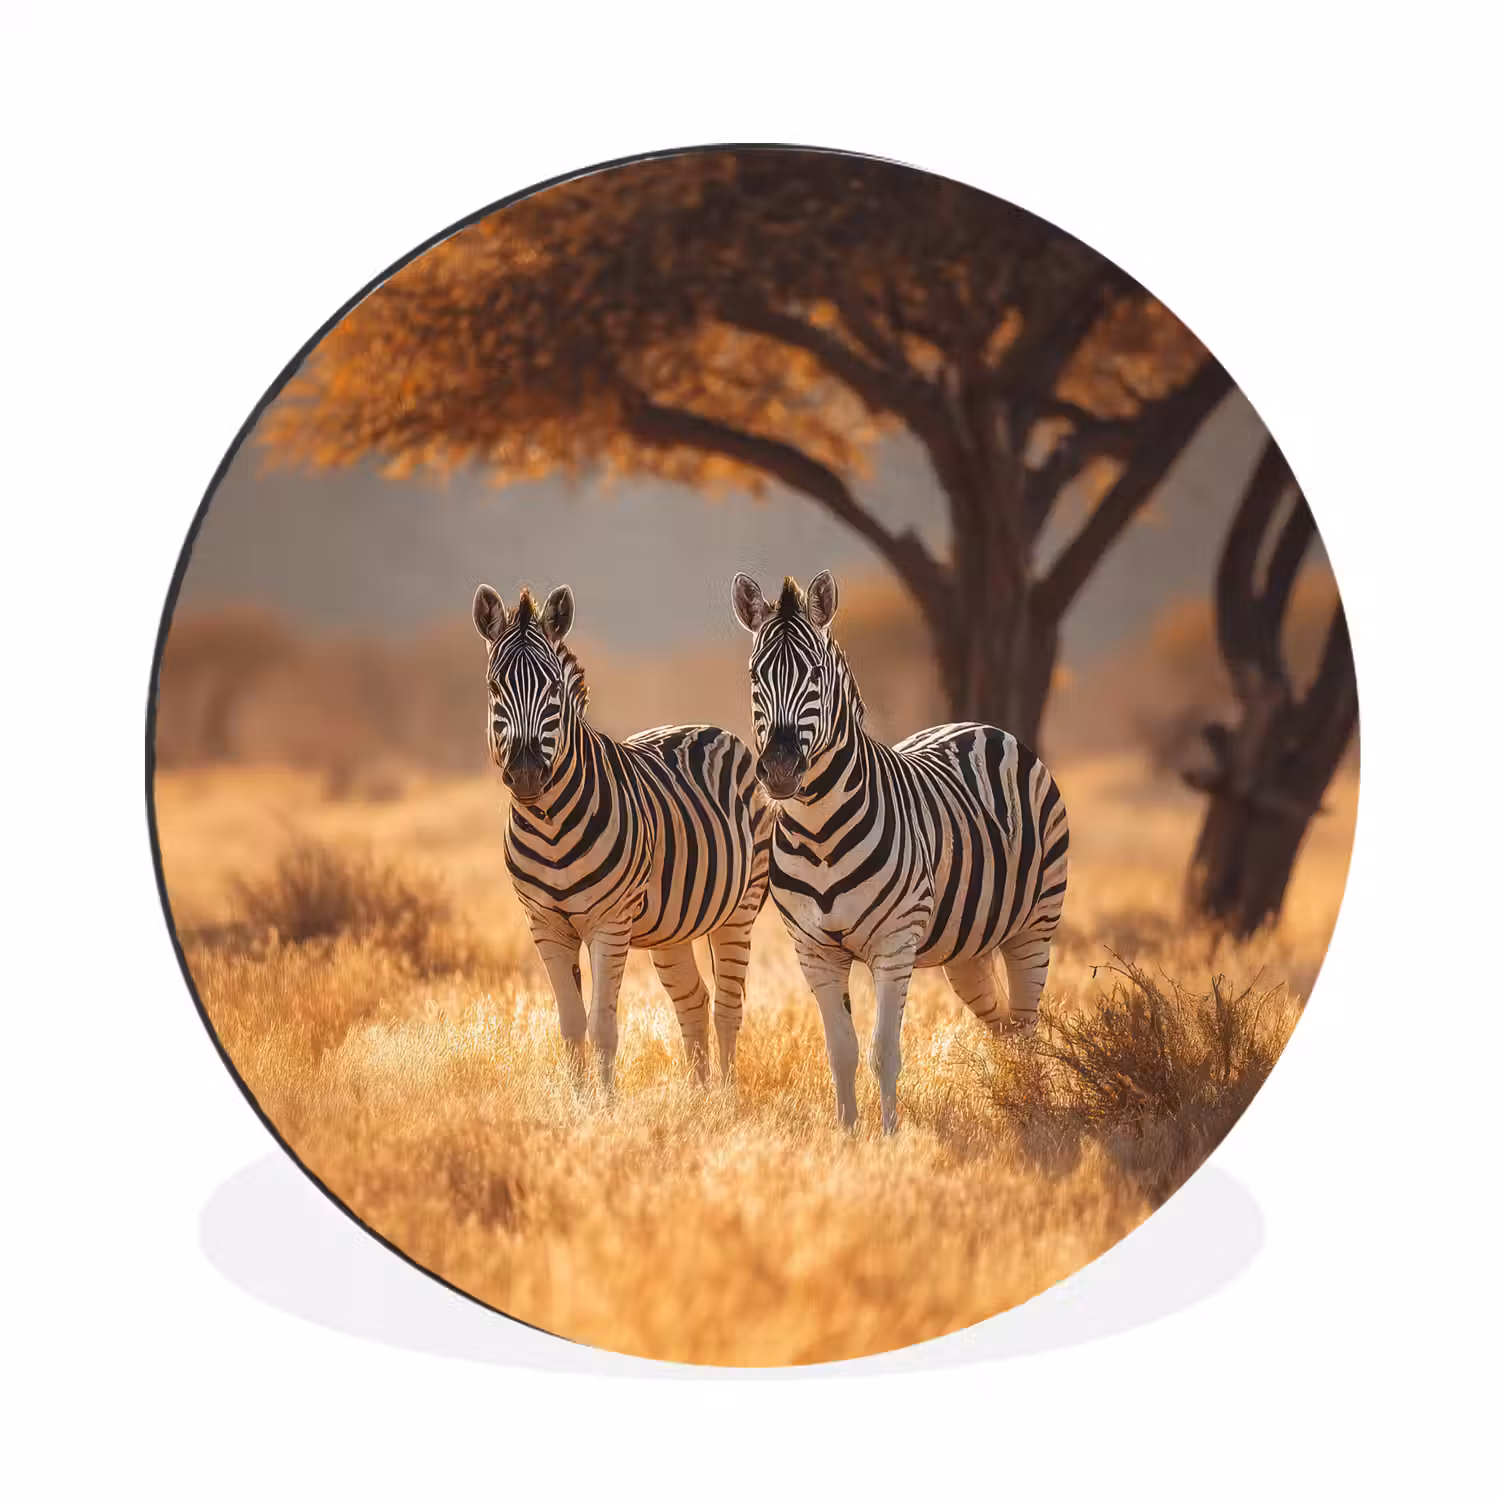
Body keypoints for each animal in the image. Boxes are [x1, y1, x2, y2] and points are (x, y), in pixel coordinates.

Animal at [475, 582, 771, 1089]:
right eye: (496, 687)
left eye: (554, 688)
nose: (527, 773)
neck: (550, 826)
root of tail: (706, 727)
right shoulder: (545, 925)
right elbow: (570, 1024)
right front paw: (576, 1102)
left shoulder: (609, 923)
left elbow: (602, 1027)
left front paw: (606, 1105)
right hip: (674, 926)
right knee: (694, 1001)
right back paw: (697, 1098)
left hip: (741, 907)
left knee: (728, 1008)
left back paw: (726, 1099)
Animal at [731, 569, 1069, 1133]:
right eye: (756, 676)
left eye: (815, 674)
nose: (778, 769)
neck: (819, 833)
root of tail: (981, 726)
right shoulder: (814, 951)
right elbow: (841, 1051)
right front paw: (848, 1134)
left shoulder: (894, 945)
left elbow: (883, 1051)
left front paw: (889, 1137)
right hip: (968, 948)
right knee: (1001, 1024)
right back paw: (1014, 1101)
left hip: (1034, 925)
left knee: (1025, 1027)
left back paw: (1035, 1110)